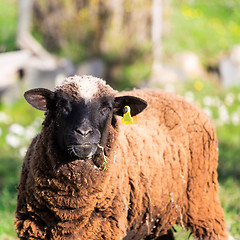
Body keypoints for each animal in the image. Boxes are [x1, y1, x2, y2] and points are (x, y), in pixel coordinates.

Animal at [15, 75, 230, 240]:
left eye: (107, 108)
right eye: (61, 105)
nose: (84, 133)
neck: (70, 206)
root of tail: (175, 96)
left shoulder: (103, 229)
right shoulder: (35, 229)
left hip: (203, 199)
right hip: (157, 214)